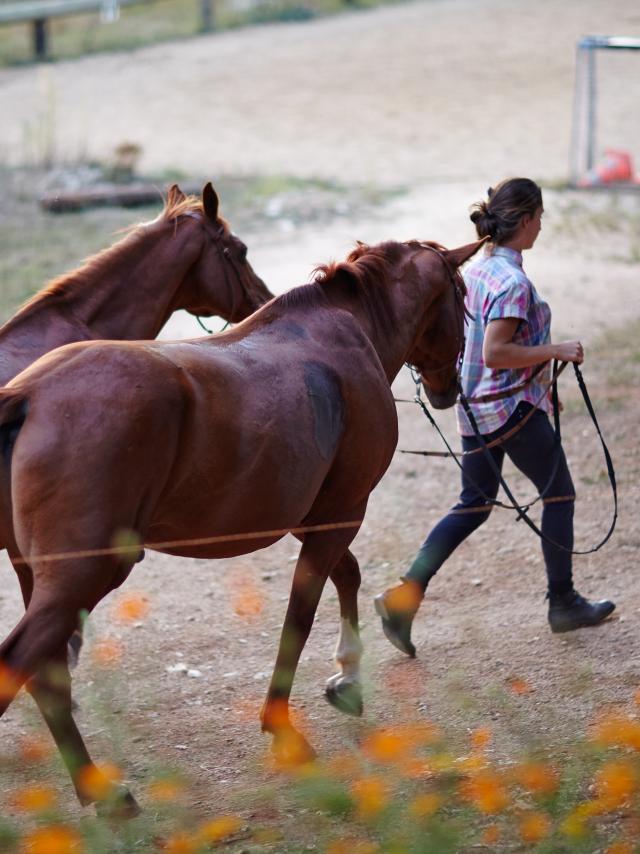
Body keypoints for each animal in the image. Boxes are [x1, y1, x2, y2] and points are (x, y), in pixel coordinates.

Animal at [0, 234, 482, 816]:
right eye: (462, 300)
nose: (450, 386)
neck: (346, 332)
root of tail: (29, 394)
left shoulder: (313, 515)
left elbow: (347, 576)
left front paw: (347, 676)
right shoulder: (343, 511)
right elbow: (300, 614)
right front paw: (283, 725)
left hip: (39, 575)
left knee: (45, 676)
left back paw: (99, 790)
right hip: (84, 575)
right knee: (20, 665)